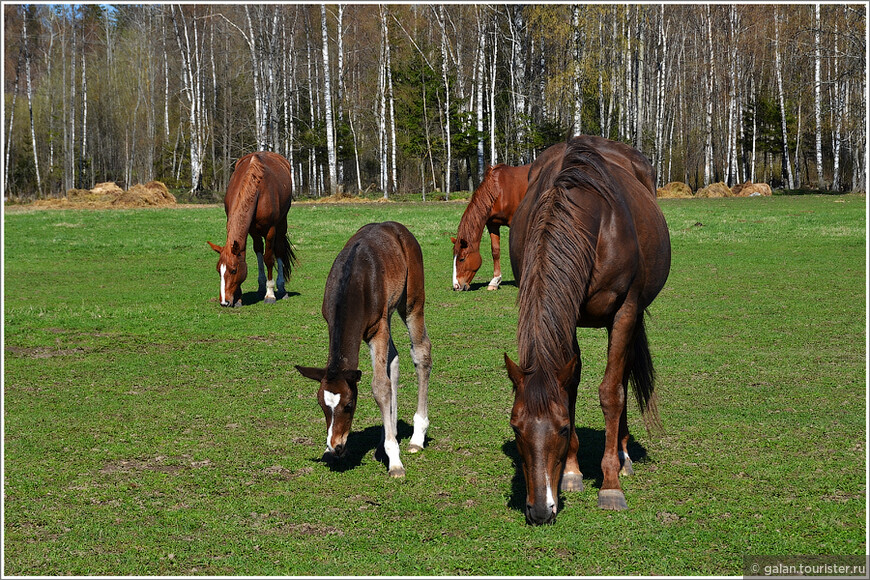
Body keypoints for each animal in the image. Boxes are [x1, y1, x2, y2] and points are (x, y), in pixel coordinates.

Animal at [209, 153, 300, 308]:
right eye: (218, 270)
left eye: (233, 270)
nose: (224, 302)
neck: (255, 187)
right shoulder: (249, 231)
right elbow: (249, 255)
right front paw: (239, 298)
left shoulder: (270, 230)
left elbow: (268, 259)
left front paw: (270, 294)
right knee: (259, 250)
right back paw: (261, 287)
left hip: (282, 224)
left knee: (279, 251)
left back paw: (281, 289)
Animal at [296, 220, 432, 478]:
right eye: (322, 405)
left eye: (349, 405)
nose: (337, 446)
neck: (353, 281)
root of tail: (399, 228)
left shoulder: (377, 328)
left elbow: (380, 386)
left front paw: (395, 461)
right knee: (394, 359)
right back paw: (389, 434)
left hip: (412, 302)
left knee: (421, 352)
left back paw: (416, 437)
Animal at [450, 162, 532, 290]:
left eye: (462, 259)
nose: (456, 286)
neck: (499, 190)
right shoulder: (492, 224)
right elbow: (495, 251)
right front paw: (495, 281)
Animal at [504, 137, 676, 524]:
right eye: (516, 427)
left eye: (564, 428)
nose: (540, 510)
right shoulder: (568, 316)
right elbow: (570, 386)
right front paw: (571, 473)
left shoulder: (625, 312)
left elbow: (611, 392)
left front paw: (610, 485)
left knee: (622, 379)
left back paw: (624, 456)